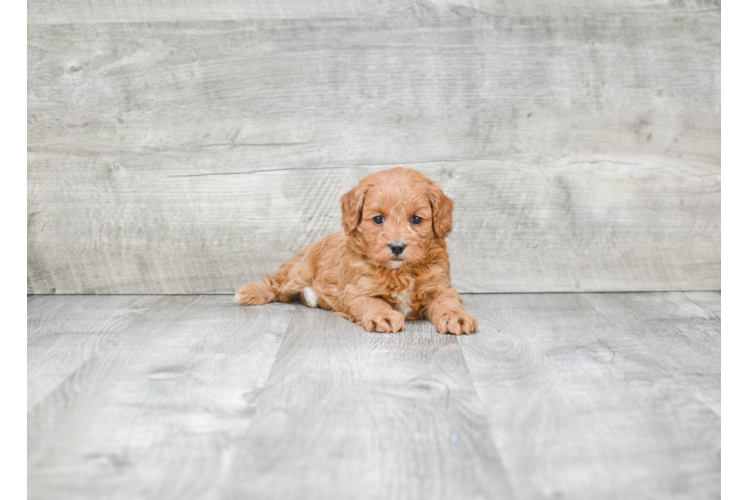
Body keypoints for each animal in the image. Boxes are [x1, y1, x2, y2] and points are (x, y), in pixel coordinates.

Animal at [234, 168, 480, 336]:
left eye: (416, 219)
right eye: (378, 219)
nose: (397, 246)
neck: (399, 272)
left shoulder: (440, 287)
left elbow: (448, 302)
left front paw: (457, 318)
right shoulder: (356, 290)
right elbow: (371, 302)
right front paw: (384, 316)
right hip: (299, 272)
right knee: (274, 283)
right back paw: (248, 292)